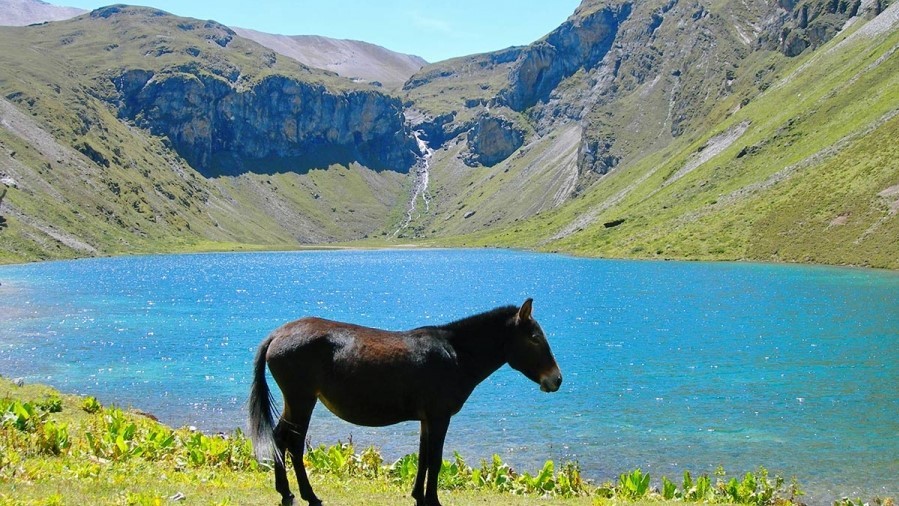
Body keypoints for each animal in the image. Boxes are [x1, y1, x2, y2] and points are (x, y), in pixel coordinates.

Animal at [248, 298, 564, 506]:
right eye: (535, 338)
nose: (557, 380)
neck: (457, 356)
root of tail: (277, 334)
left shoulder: (427, 418)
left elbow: (423, 457)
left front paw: (419, 497)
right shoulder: (439, 416)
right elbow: (435, 459)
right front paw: (433, 501)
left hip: (297, 400)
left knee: (279, 437)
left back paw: (286, 493)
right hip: (302, 398)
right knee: (293, 442)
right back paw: (309, 496)